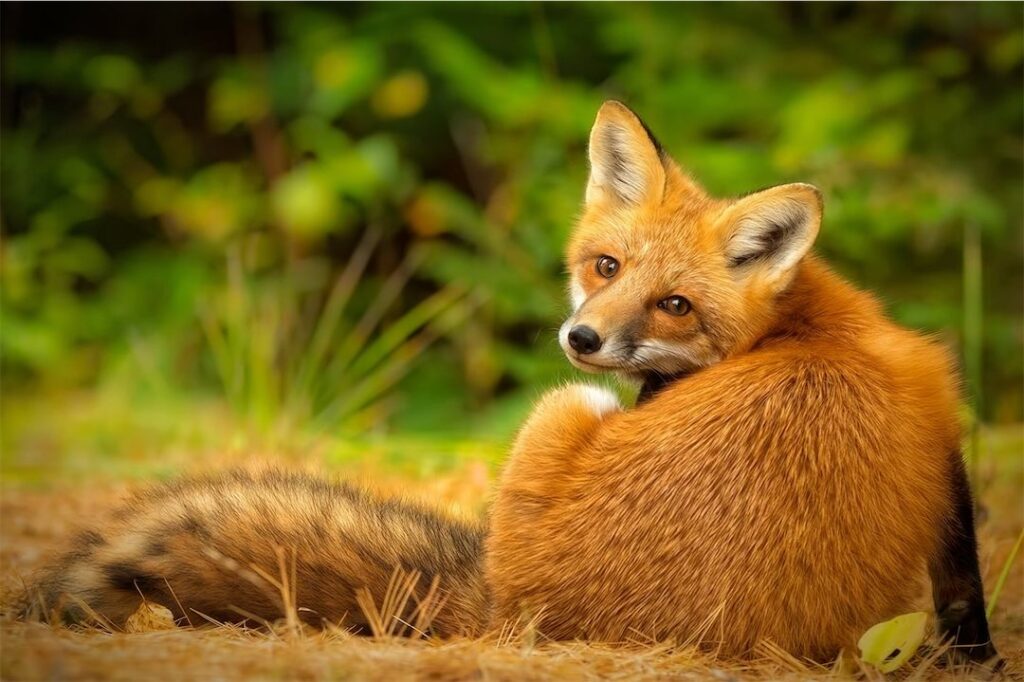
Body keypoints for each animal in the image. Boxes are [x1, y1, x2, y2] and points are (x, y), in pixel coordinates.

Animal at [17, 101, 997, 664]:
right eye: (605, 265)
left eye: (674, 303)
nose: (583, 337)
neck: (811, 324)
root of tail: (502, 611)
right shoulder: (941, 431)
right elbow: (964, 581)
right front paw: (976, 656)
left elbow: (963, 581)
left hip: (565, 407)